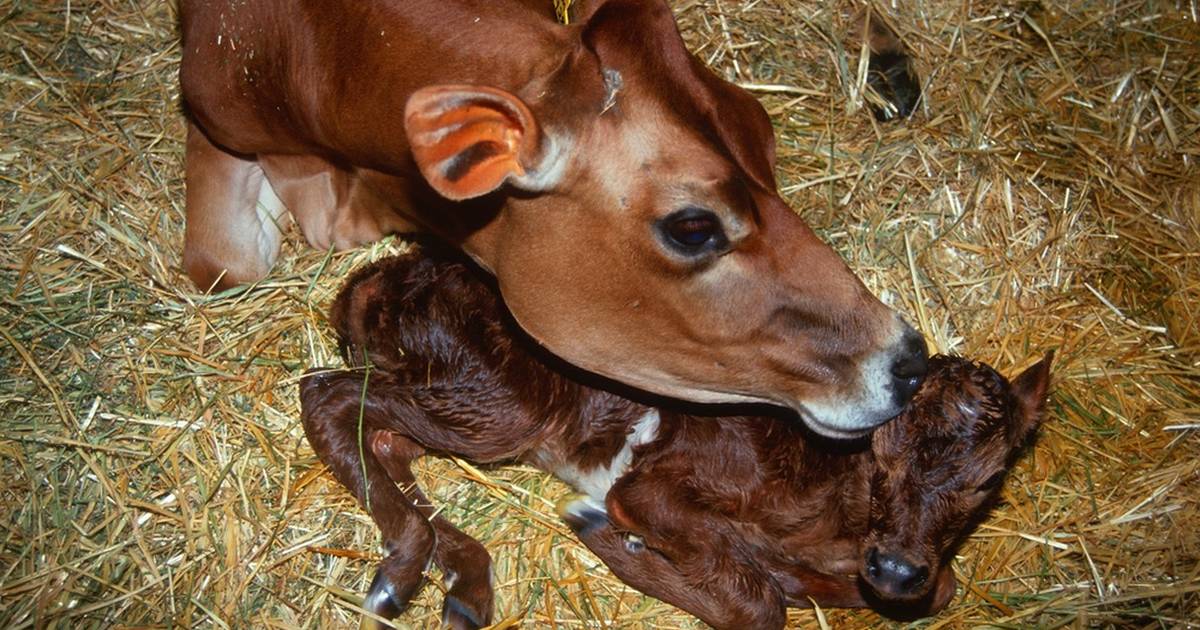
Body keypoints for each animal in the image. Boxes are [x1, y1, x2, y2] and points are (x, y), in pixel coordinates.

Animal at [300, 252, 1051, 628]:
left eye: (989, 480)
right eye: (880, 455)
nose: (894, 569)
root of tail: (371, 279)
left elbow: (941, 587)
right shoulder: (650, 486)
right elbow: (758, 604)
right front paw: (614, 537)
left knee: (385, 443)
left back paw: (465, 588)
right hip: (497, 402)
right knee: (327, 396)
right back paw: (399, 576)